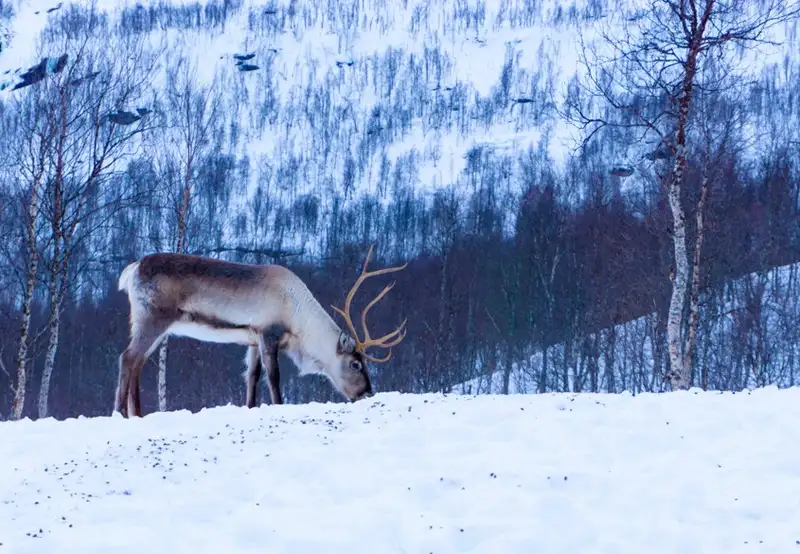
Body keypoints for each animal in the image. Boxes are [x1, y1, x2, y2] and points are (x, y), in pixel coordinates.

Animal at [114, 245, 407, 418]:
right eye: (356, 364)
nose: (367, 393)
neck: (298, 321)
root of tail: (132, 269)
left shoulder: (252, 339)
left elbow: (252, 377)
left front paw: (250, 407)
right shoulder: (269, 334)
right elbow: (273, 376)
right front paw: (279, 406)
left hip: (151, 325)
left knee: (138, 362)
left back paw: (138, 413)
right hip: (153, 319)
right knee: (127, 358)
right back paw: (121, 413)